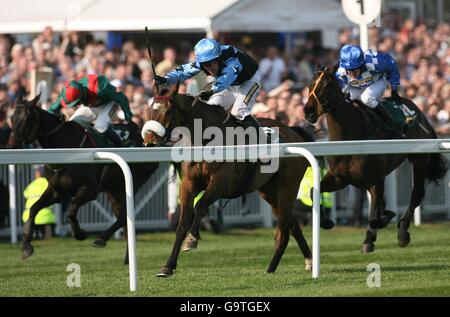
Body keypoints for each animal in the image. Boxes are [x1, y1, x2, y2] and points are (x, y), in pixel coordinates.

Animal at [11, 95, 158, 260]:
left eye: (27, 119)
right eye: (11, 118)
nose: (12, 146)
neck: (65, 147)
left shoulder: (89, 190)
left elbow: (71, 209)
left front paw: (80, 233)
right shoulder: (57, 192)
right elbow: (34, 209)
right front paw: (26, 246)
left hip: (135, 181)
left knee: (123, 216)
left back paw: (101, 238)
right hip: (114, 190)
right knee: (123, 216)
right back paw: (126, 257)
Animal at [142, 84, 314, 276]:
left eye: (168, 112)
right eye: (149, 110)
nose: (149, 141)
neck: (206, 140)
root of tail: (293, 131)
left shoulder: (221, 183)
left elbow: (200, 206)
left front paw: (192, 239)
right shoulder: (188, 185)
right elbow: (183, 222)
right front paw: (168, 266)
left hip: (288, 187)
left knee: (284, 232)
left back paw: (272, 268)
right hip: (269, 191)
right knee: (293, 225)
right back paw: (307, 260)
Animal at [302, 65, 446, 252]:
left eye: (326, 85)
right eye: (309, 84)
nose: (308, 111)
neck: (352, 135)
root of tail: (419, 112)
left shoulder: (376, 179)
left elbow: (374, 216)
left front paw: (371, 237)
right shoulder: (339, 178)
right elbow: (314, 191)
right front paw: (326, 222)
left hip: (420, 160)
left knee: (417, 193)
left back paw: (402, 232)